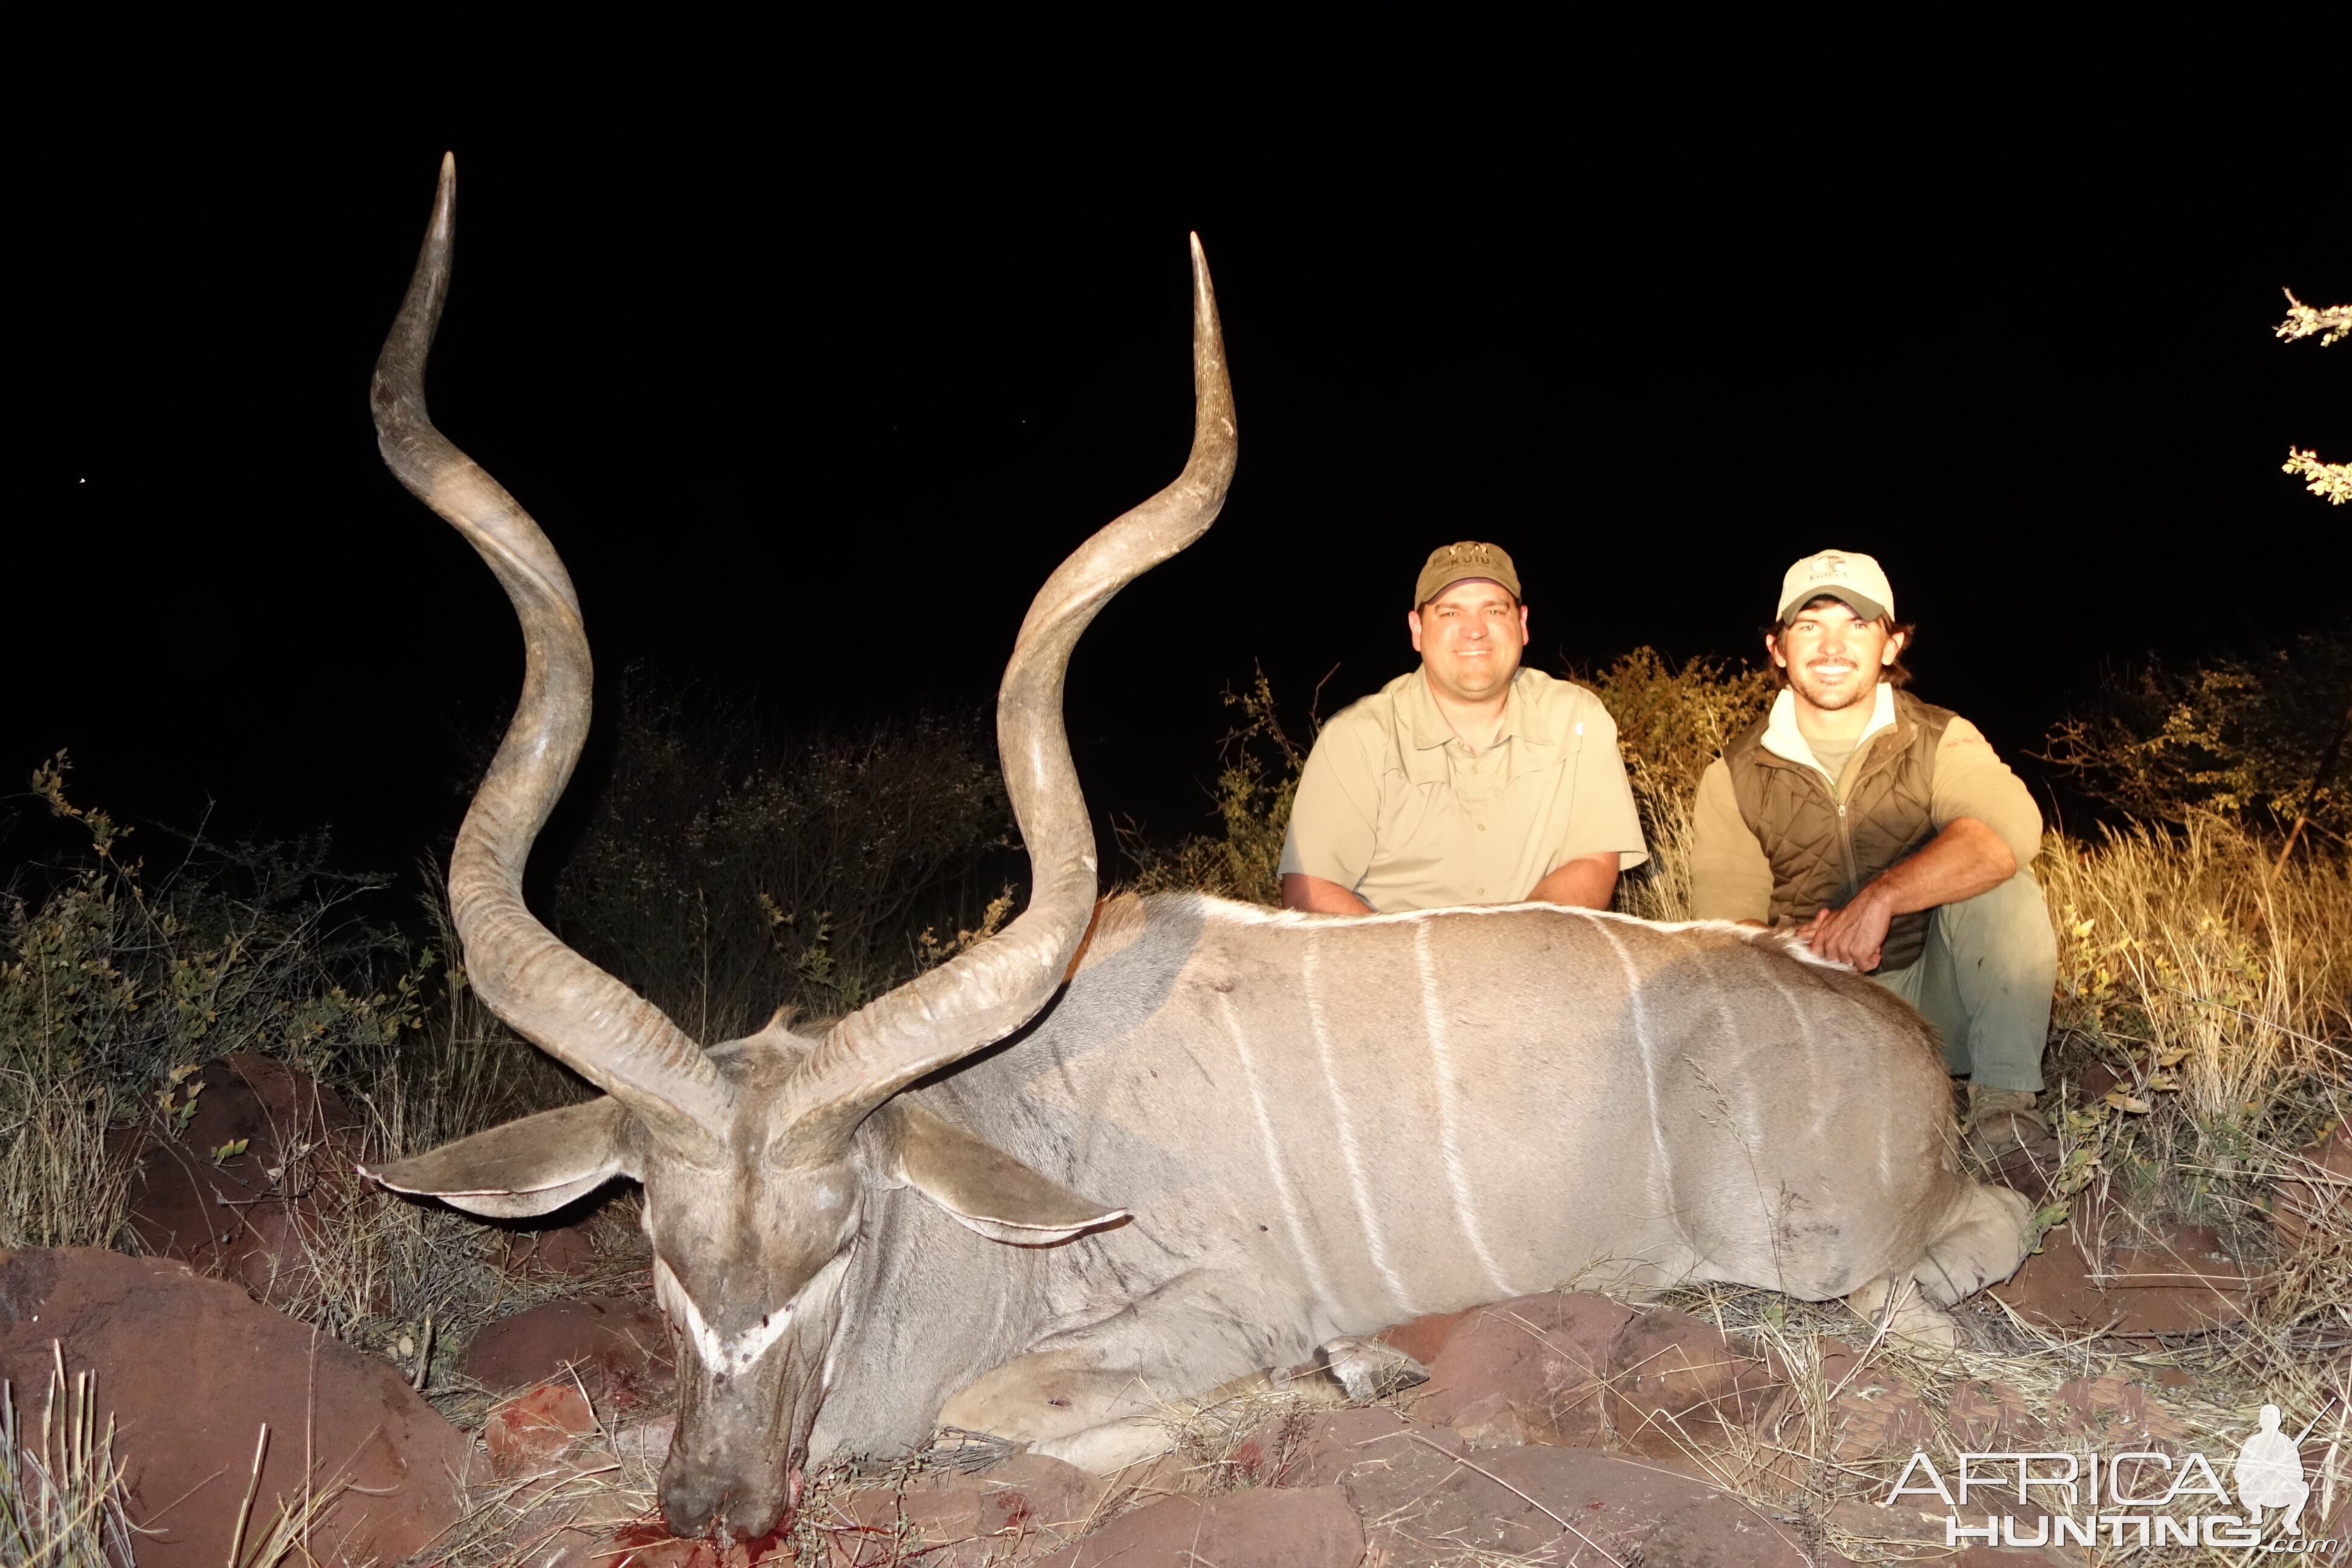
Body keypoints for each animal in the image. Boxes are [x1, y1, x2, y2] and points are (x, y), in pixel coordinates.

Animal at [362, 156, 2022, 1532]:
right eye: (656, 1239)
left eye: (838, 1242)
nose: (717, 1504)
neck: (1008, 1136)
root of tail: (1894, 1042)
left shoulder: (1216, 1299)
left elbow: (999, 1406)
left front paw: (1306, 1386)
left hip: (1822, 1247)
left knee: (1972, 1248)